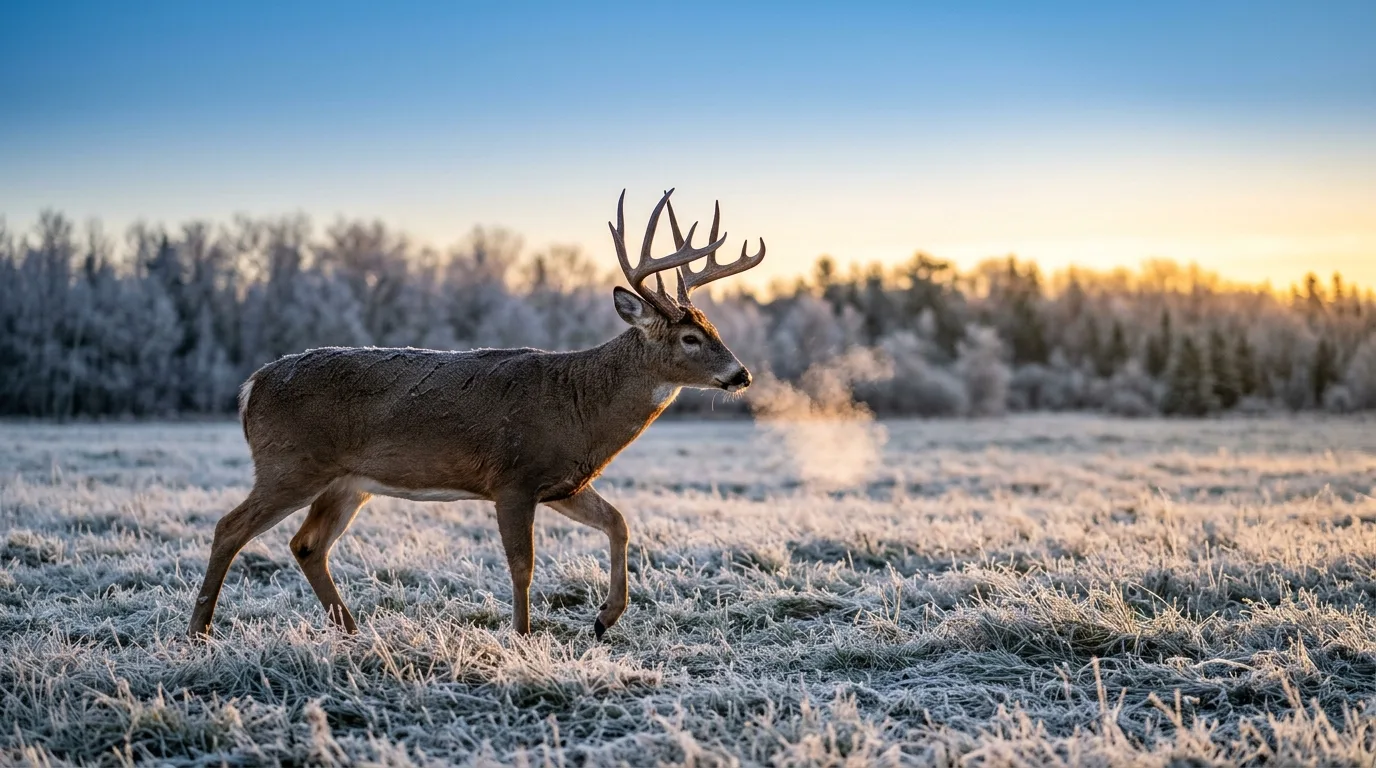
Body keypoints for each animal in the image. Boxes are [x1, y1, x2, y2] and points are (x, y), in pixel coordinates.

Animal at [188, 189, 764, 640]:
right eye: (690, 338)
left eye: (713, 327)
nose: (741, 375)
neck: (578, 404)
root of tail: (251, 386)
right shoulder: (512, 477)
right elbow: (522, 565)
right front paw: (523, 637)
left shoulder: (563, 482)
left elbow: (618, 522)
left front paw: (604, 619)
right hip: (290, 463)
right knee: (229, 527)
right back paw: (199, 631)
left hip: (347, 482)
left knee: (307, 545)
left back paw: (351, 631)